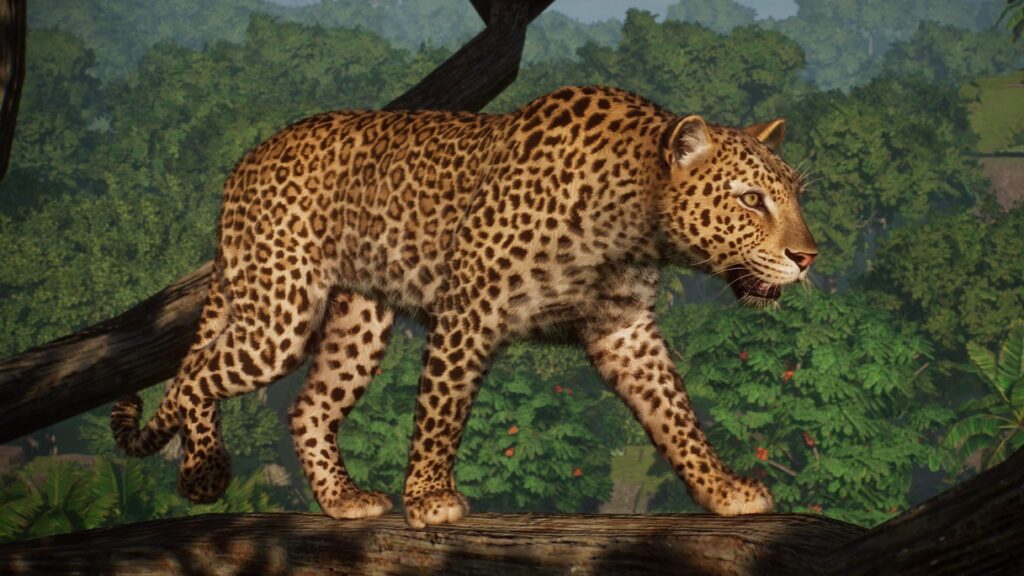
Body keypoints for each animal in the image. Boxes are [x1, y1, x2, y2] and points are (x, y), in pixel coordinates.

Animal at [112, 85, 817, 528]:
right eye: (750, 200)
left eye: (792, 196)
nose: (808, 257)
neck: (634, 221)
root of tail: (246, 161)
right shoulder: (470, 312)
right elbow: (441, 413)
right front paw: (429, 499)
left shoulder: (624, 329)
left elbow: (676, 416)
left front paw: (723, 491)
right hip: (279, 313)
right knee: (194, 372)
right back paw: (202, 471)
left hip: (358, 317)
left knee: (308, 406)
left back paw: (342, 500)